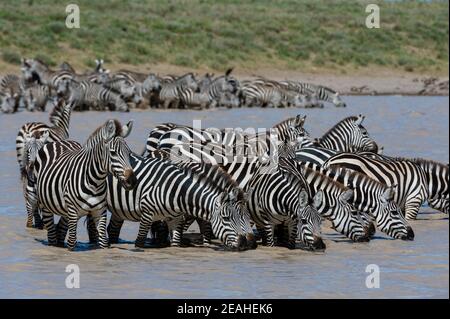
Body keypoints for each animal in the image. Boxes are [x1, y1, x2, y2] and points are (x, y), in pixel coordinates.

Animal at [32, 119, 136, 250]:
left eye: (129, 153)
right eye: (113, 153)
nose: (132, 181)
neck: (95, 182)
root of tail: (59, 142)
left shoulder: (100, 211)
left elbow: (103, 241)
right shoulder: (72, 210)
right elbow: (72, 241)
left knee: (60, 229)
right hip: (45, 204)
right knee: (51, 234)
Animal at [105, 154, 255, 251]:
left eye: (247, 217)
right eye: (226, 218)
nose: (244, 243)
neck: (177, 192)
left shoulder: (179, 218)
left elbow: (183, 239)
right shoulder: (147, 215)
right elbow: (140, 242)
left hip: (118, 210)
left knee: (112, 229)